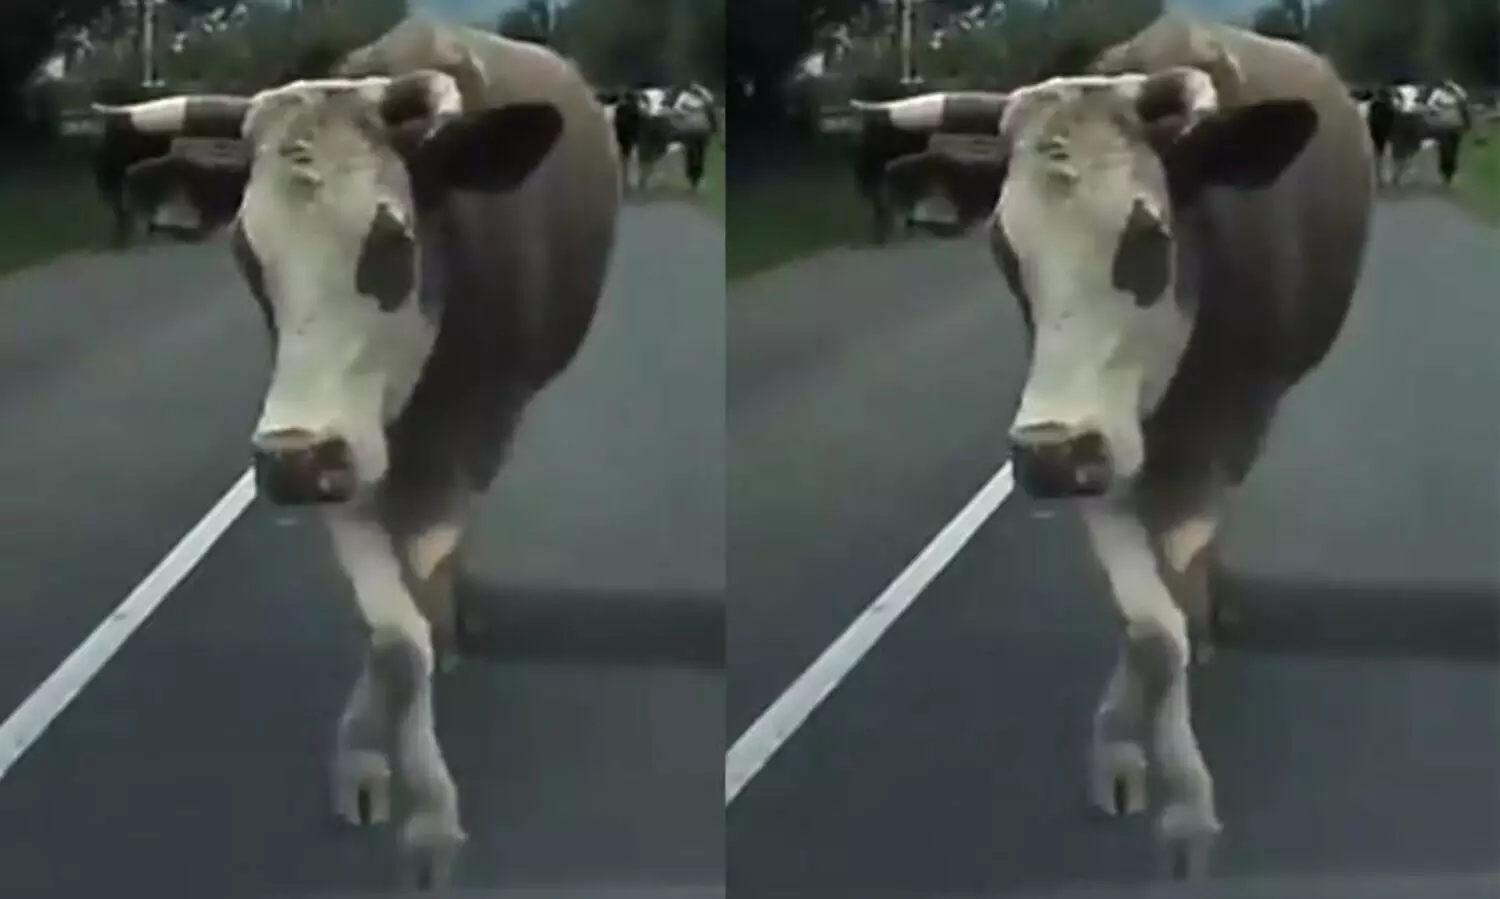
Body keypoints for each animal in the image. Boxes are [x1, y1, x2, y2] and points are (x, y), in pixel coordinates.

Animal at [91, 16, 620, 890]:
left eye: (393, 238)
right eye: (245, 253)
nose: (293, 464)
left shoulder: (465, 434)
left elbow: (414, 611)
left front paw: (430, 822)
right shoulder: (332, 455)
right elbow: (391, 637)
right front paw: (366, 762)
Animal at [852, 15, 1373, 879]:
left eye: (1149, 233)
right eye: (1003, 248)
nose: (1050, 459)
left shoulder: (1218, 432)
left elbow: (1169, 605)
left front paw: (1186, 810)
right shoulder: (1086, 449)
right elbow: (1147, 627)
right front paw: (1122, 754)